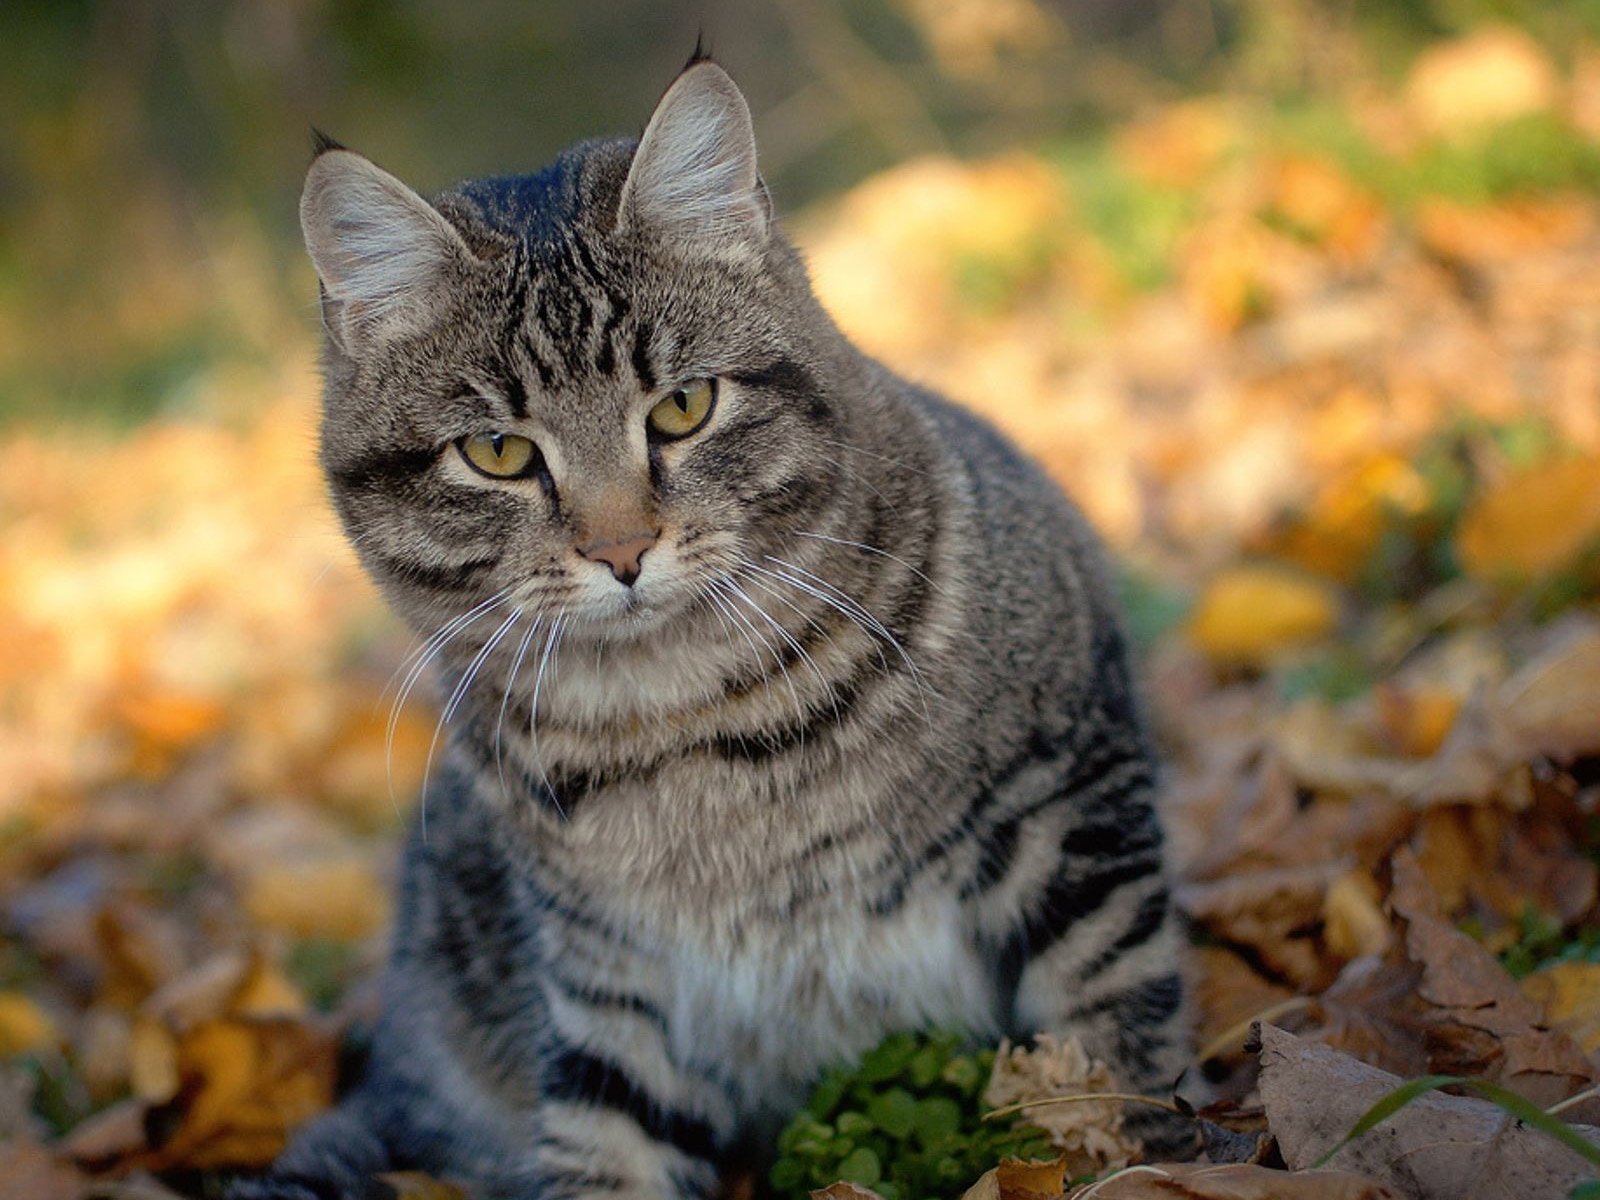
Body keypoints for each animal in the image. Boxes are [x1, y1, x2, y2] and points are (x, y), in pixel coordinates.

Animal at [236, 54, 1190, 1200]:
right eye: (498, 454)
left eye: (684, 407)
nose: (621, 550)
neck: (688, 723)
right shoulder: (609, 987)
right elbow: (609, 1154)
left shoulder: (1073, 805)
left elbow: (1111, 1053)